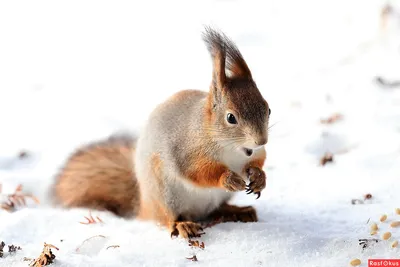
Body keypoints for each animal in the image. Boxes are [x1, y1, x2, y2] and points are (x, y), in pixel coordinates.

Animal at [51, 26, 272, 241]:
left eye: (268, 109)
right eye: (231, 118)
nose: (261, 140)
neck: (233, 148)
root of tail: (144, 205)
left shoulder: (256, 153)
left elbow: (259, 161)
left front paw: (259, 177)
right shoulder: (187, 151)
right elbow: (198, 171)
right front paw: (228, 179)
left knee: (215, 210)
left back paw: (238, 210)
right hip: (164, 193)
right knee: (166, 219)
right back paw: (182, 225)